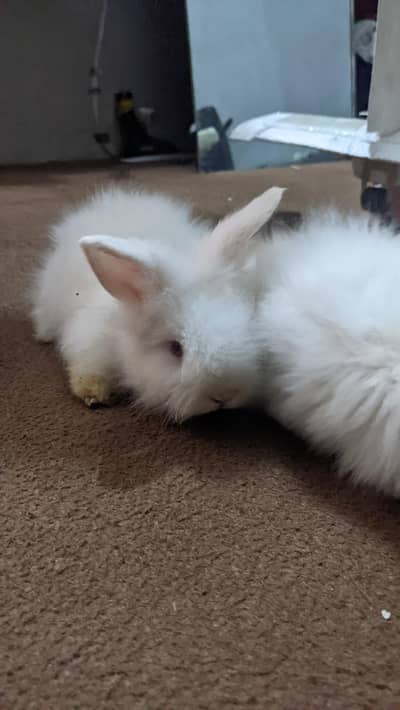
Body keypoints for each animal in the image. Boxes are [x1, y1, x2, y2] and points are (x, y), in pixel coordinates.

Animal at [31, 185, 284, 420]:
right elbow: (87, 368)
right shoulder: (89, 338)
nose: (223, 396)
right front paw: (93, 393)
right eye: (175, 349)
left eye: (248, 328)